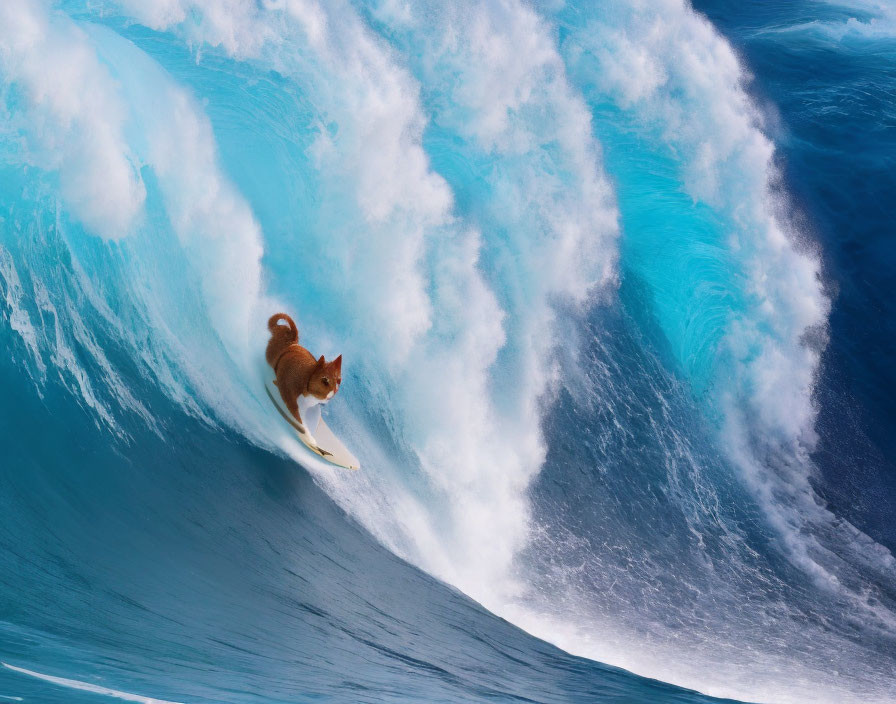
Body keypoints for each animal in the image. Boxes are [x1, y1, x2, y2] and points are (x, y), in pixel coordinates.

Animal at [264, 310, 342, 448]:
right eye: (325, 380)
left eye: (339, 381)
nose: (332, 393)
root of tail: (292, 342)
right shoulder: (291, 396)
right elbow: (300, 423)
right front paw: (311, 440)